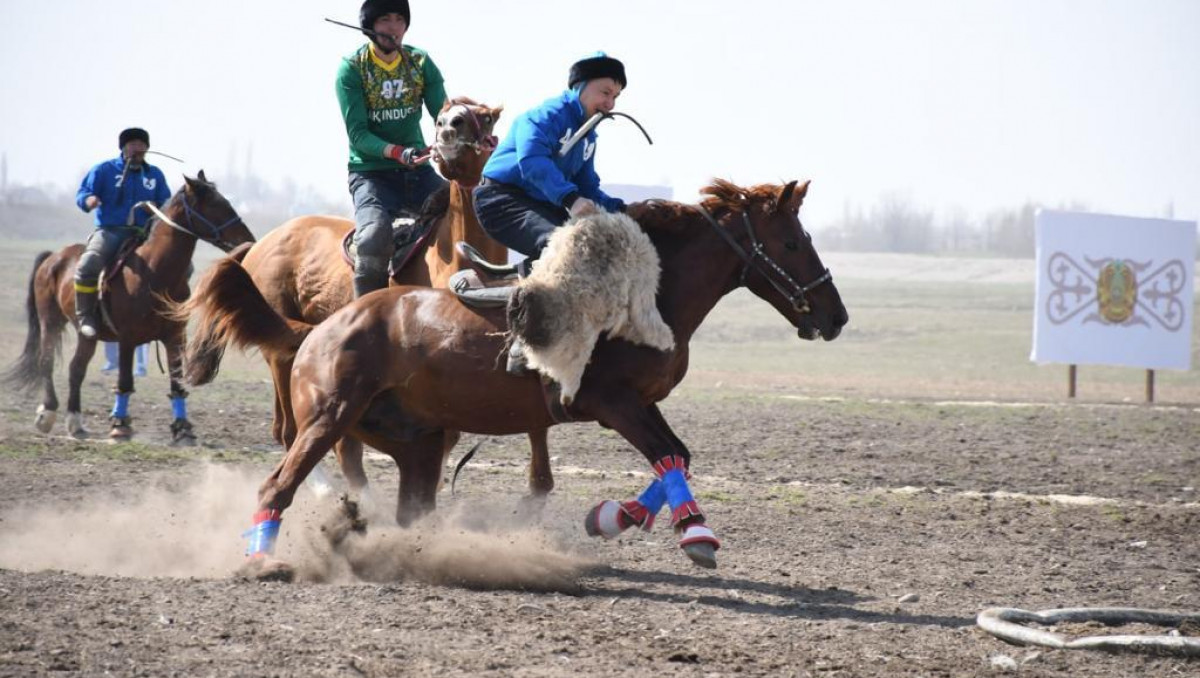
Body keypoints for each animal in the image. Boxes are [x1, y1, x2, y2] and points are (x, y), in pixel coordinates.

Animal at [4, 171, 253, 441]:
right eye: (216, 205)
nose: (247, 240)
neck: (154, 272)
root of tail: (53, 257)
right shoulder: (127, 338)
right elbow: (124, 381)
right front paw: (120, 425)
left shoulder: (175, 336)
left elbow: (176, 382)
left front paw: (182, 427)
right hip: (50, 321)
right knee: (47, 360)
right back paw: (47, 414)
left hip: (87, 335)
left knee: (76, 369)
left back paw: (75, 421)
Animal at [181, 100, 561, 499]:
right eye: (443, 114)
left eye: (485, 115)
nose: (447, 127)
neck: (459, 257)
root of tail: (261, 243)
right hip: (282, 354)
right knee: (291, 431)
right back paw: (331, 490)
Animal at [187, 177, 849, 573]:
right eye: (793, 243)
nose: (836, 315)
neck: (647, 295)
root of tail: (319, 328)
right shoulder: (613, 403)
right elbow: (666, 454)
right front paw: (695, 535)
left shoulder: (641, 402)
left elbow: (676, 455)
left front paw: (615, 518)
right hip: (327, 419)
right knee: (277, 486)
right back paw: (262, 562)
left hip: (418, 444)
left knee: (407, 510)